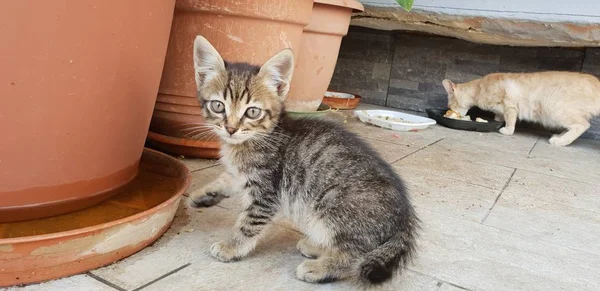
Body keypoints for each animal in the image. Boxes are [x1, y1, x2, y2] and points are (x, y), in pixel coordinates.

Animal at [189, 35, 418, 286]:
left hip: (332, 204)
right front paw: (204, 194)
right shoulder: (241, 174)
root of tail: (405, 217)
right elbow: (227, 178)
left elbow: (249, 223)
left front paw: (232, 247)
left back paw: (321, 267)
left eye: (252, 112)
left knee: (355, 255)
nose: (230, 129)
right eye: (218, 106)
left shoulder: (266, 191)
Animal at [440, 72, 600, 147]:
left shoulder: (510, 105)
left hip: (555, 110)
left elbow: (510, 121)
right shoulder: (501, 110)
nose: (449, 111)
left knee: (582, 125)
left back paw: (561, 141)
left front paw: (507, 130)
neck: (479, 87)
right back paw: (559, 136)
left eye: (450, 106)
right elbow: (499, 117)